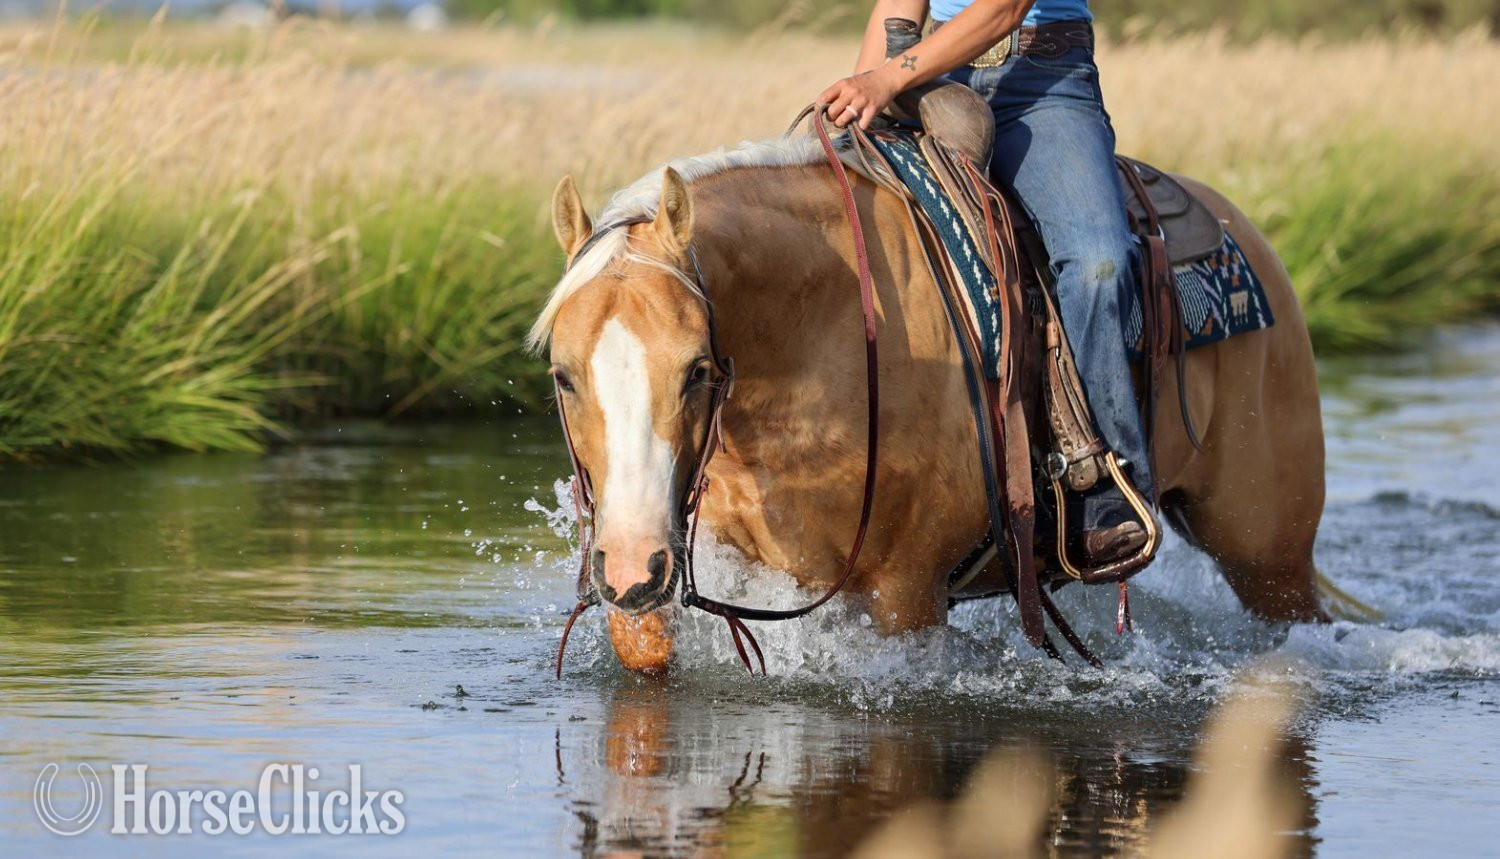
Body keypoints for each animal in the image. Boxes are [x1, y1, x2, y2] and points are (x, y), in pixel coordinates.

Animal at [529, 134, 1337, 675]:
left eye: (697, 369)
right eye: (563, 376)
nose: (629, 565)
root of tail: (1243, 233)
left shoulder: (905, 594)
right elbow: (644, 645)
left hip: (1270, 555)